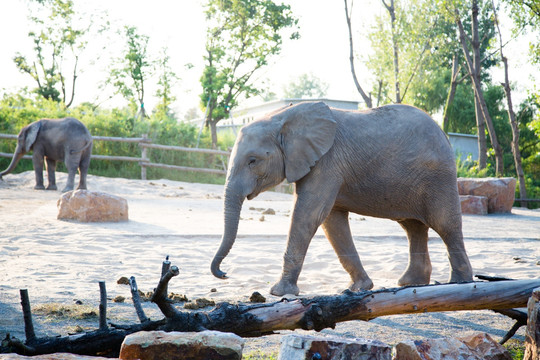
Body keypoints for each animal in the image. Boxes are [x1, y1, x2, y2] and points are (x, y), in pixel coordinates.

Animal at [211, 100, 472, 296]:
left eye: (253, 161)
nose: (224, 274)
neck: (283, 117)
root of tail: (444, 135)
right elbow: (331, 222)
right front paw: (360, 288)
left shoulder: (327, 162)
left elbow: (309, 215)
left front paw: (279, 292)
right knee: (413, 227)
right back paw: (410, 283)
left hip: (438, 178)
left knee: (445, 225)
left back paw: (459, 283)